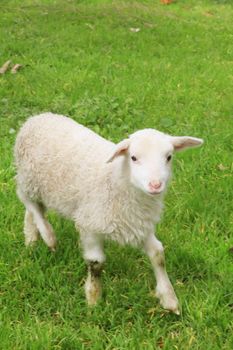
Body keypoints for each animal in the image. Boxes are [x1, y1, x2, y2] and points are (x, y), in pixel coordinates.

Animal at [15, 112, 204, 314]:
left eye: (169, 157)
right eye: (133, 157)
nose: (155, 185)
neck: (117, 179)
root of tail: (37, 117)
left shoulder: (138, 223)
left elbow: (158, 254)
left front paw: (169, 299)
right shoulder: (90, 225)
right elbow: (96, 263)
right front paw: (93, 300)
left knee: (31, 211)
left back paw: (31, 240)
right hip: (27, 179)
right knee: (27, 202)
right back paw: (48, 236)